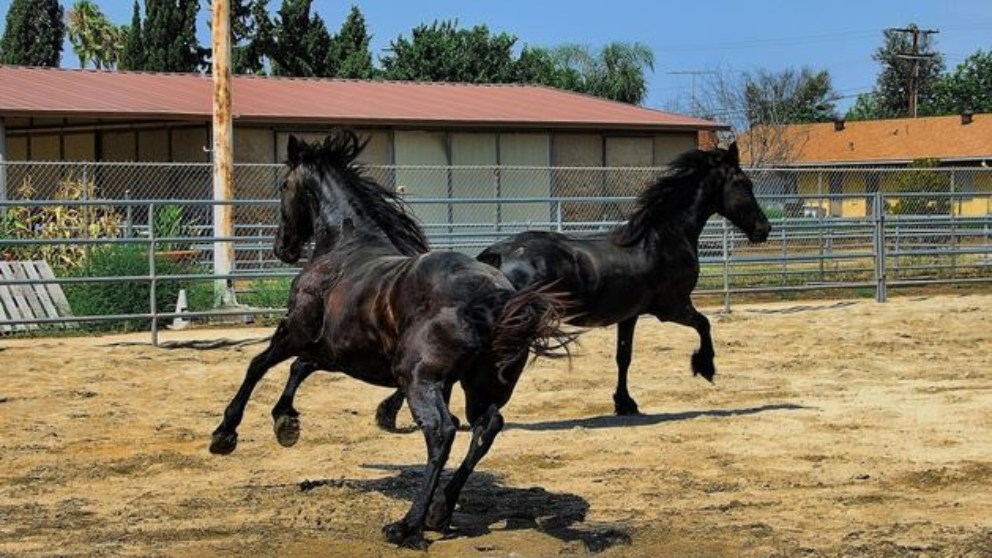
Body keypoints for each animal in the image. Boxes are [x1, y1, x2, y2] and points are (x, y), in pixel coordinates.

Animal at [207, 131, 572, 552]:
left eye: (284, 185)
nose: (282, 248)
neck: (345, 246)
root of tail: (497, 297)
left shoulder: (295, 330)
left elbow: (259, 365)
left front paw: (225, 434)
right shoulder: (339, 351)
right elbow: (299, 368)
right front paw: (286, 422)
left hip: (419, 378)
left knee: (442, 432)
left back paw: (407, 526)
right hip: (483, 386)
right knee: (486, 428)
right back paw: (440, 512)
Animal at [370, 140, 768, 428]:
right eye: (744, 183)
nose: (763, 230)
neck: (662, 237)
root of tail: (497, 254)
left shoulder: (631, 315)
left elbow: (624, 356)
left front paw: (625, 403)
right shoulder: (671, 306)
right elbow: (704, 324)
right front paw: (706, 367)